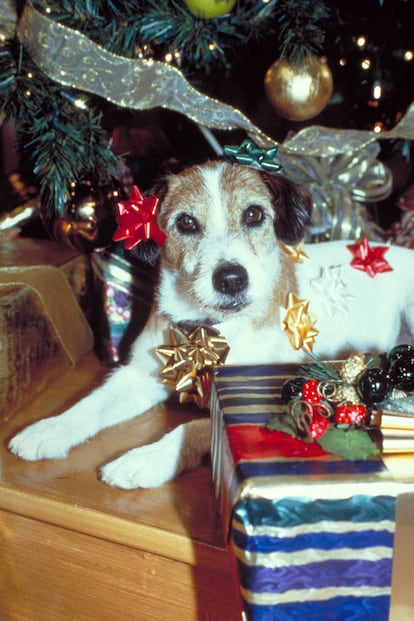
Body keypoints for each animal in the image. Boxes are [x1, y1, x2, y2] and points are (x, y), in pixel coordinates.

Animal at [8, 161, 414, 490]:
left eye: (254, 214)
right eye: (186, 222)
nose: (231, 279)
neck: (208, 333)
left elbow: (196, 426)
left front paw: (146, 459)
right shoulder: (138, 374)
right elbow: (90, 404)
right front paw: (49, 428)